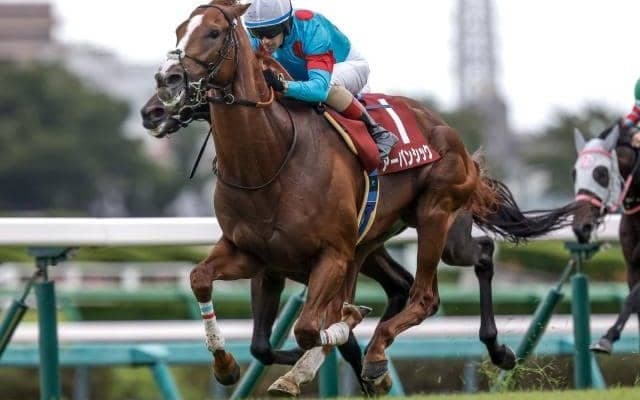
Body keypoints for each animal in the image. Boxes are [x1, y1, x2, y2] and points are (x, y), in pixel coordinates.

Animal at [150, 0, 576, 390]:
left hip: (437, 216)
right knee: (445, 268)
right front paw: (227, 365)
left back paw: (385, 353)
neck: (268, 162)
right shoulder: (256, 256)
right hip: (379, 240)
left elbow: (309, 328)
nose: (164, 85)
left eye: (213, 33)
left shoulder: (332, 255)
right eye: (178, 31)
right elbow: (211, 291)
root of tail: (451, 134)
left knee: (429, 292)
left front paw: (329, 348)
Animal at [572, 123, 640, 354]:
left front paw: (606, 339)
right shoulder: (632, 268)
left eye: (600, 173)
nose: (581, 227)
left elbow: (631, 300)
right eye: (574, 173)